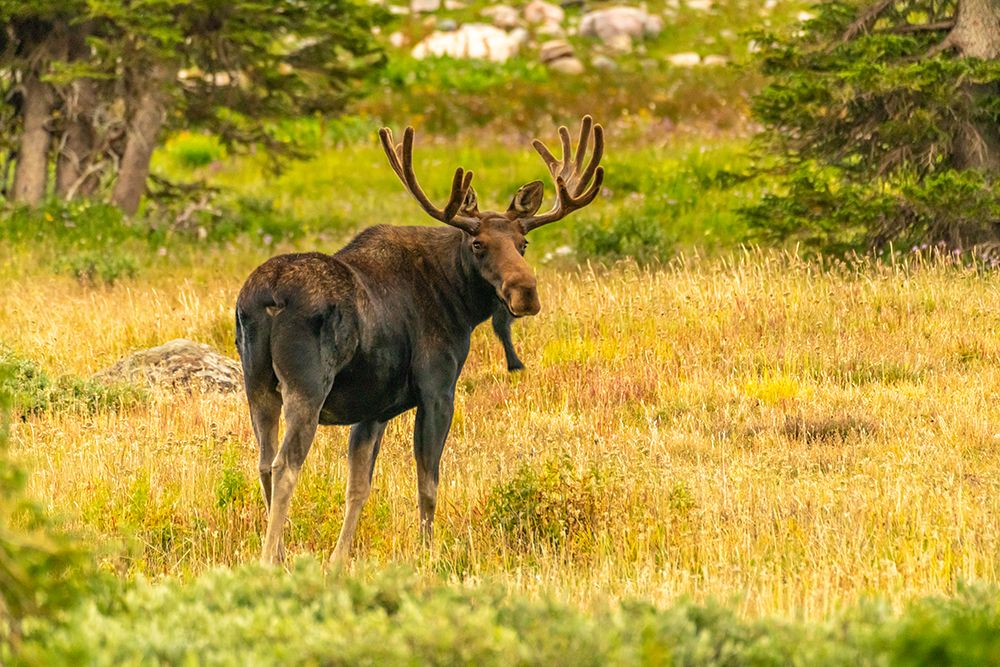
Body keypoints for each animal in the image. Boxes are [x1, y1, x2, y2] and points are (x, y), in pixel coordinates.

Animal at [235, 116, 604, 565]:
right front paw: (428, 553)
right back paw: (271, 558)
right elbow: (428, 483)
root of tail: (268, 296)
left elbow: (358, 488)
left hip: (256, 384)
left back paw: (283, 554)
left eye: (523, 243)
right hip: (306, 385)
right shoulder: (437, 389)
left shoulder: (372, 410)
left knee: (262, 462)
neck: (459, 303)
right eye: (478, 243)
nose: (525, 292)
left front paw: (339, 560)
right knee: (285, 465)